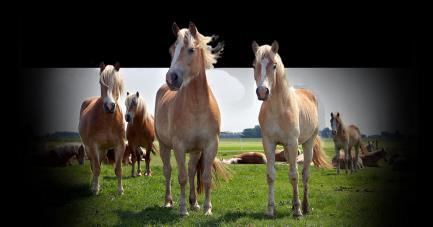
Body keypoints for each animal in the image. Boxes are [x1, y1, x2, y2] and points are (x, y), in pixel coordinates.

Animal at [78, 62, 125, 195]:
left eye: (116, 82)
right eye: (100, 82)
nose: (109, 106)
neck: (108, 120)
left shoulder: (120, 145)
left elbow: (118, 169)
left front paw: (120, 190)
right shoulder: (93, 145)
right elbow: (97, 169)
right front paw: (95, 190)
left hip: (103, 150)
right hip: (89, 149)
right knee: (93, 166)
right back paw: (94, 185)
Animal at [155, 22, 230, 216]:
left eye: (191, 50)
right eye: (172, 49)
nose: (171, 78)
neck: (197, 108)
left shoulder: (210, 145)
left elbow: (205, 177)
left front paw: (207, 208)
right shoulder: (179, 147)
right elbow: (181, 177)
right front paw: (182, 210)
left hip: (195, 151)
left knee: (191, 171)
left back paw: (194, 202)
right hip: (165, 146)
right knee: (168, 171)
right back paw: (168, 201)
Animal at [250, 40, 330, 218]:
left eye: (274, 65)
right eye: (254, 65)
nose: (262, 92)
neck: (278, 109)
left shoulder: (293, 143)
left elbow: (294, 176)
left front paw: (298, 211)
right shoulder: (269, 143)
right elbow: (271, 175)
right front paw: (270, 210)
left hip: (307, 144)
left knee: (305, 174)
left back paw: (304, 207)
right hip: (286, 148)